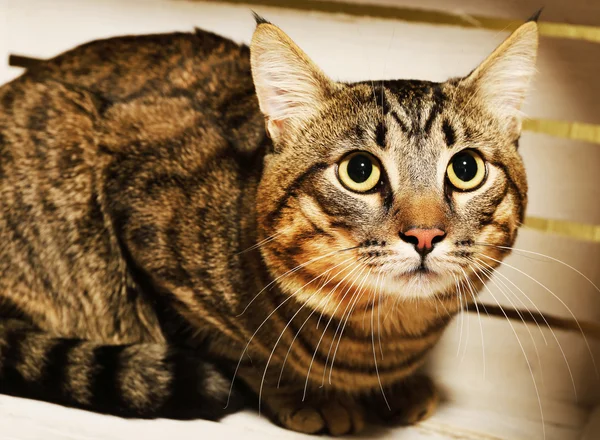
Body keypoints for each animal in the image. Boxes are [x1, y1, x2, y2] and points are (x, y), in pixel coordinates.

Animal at [0, 12, 540, 434]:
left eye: (465, 168)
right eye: (359, 171)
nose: (425, 234)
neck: (383, 337)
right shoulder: (148, 235)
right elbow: (234, 349)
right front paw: (306, 396)